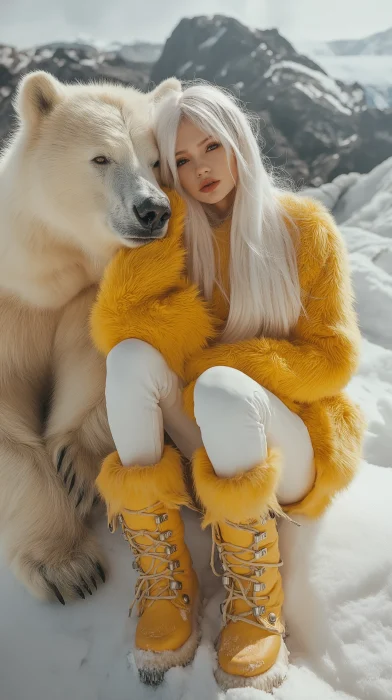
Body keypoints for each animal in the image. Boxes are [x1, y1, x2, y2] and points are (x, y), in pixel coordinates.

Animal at [0, 74, 180, 604]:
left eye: (156, 160)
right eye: (101, 158)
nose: (153, 210)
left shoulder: (88, 297)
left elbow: (97, 369)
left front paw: (74, 467)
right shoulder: (14, 303)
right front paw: (69, 568)